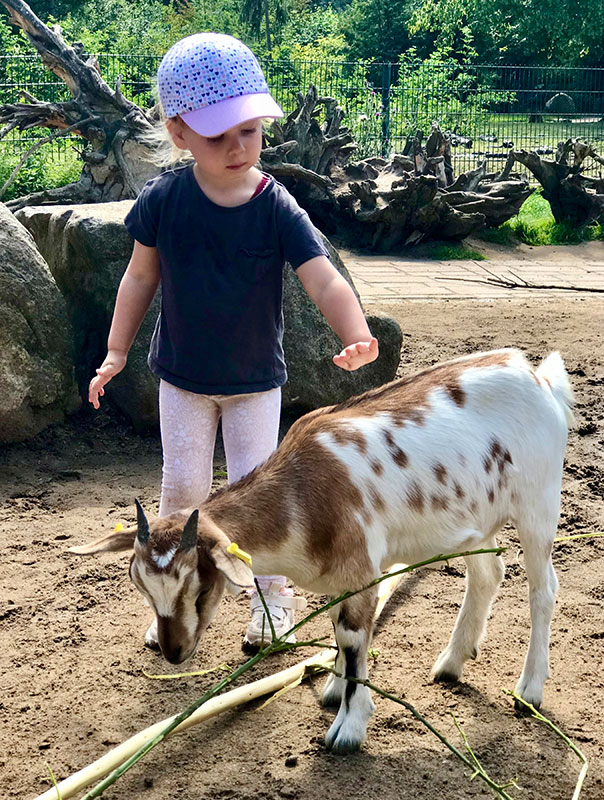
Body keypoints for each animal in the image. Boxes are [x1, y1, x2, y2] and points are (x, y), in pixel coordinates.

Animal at [71, 346, 572, 752]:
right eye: (142, 586)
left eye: (201, 586)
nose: (173, 653)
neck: (303, 495)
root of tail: (538, 376)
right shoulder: (342, 577)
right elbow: (338, 631)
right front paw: (332, 690)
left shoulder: (362, 569)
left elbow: (351, 639)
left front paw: (348, 729)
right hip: (475, 521)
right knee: (488, 573)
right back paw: (451, 664)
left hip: (539, 503)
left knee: (543, 587)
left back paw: (529, 690)